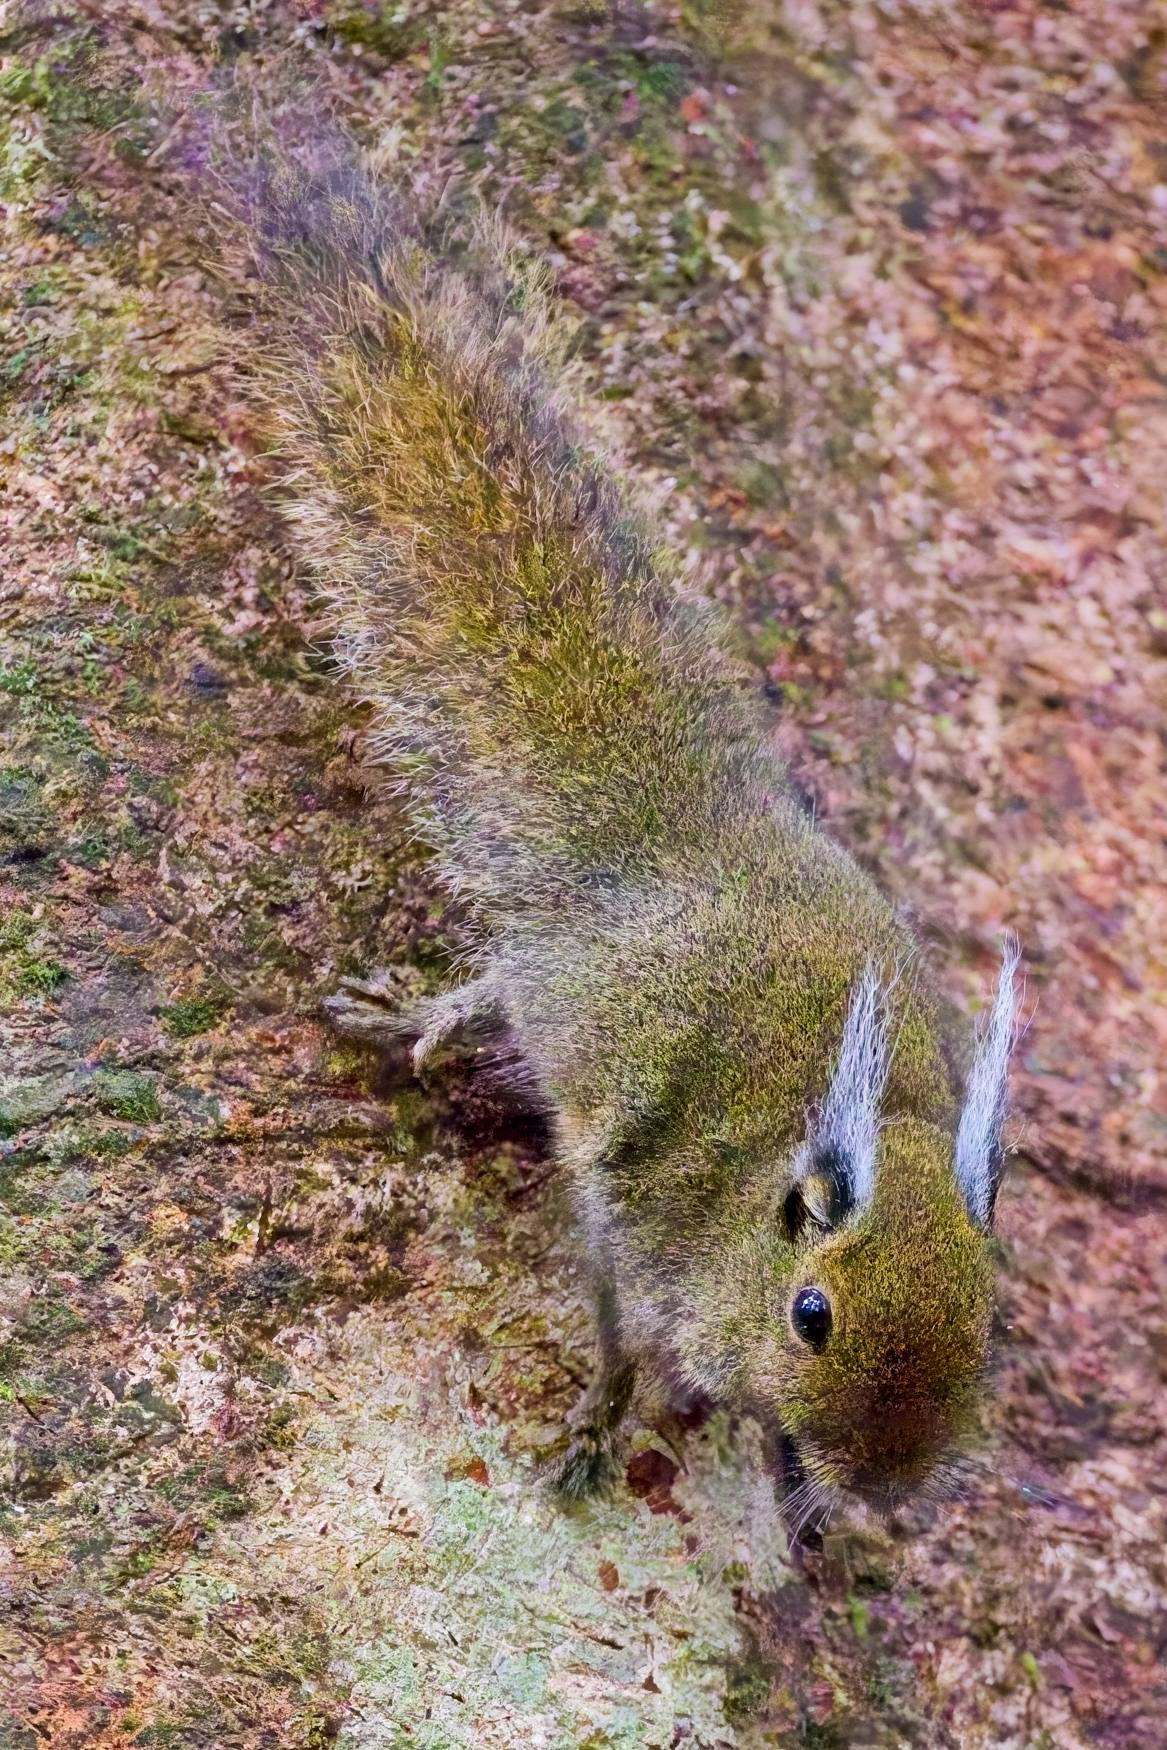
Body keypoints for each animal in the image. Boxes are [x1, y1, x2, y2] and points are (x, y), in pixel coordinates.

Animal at [187, 88, 1020, 1542]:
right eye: (812, 1312)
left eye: (989, 1335)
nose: (883, 1490)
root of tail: (680, 836)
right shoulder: (635, 1225)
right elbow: (617, 1325)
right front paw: (603, 1420)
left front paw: (804, 1499)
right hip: (565, 988)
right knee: (499, 981)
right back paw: (410, 1018)